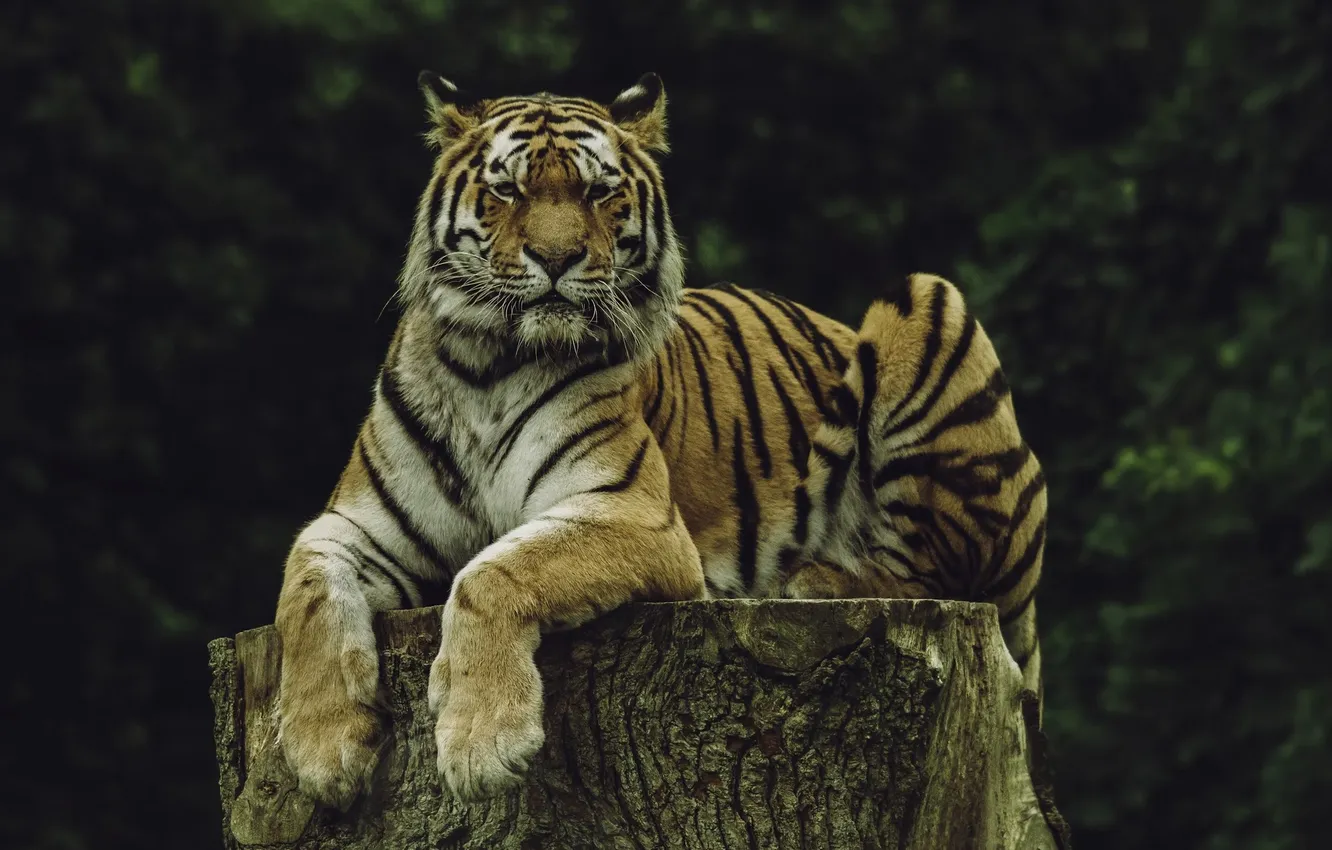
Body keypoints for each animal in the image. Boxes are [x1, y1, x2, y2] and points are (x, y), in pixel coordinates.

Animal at [273, 71, 1047, 808]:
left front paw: (482, 745)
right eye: (508, 189)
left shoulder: (632, 513)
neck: (486, 367)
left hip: (928, 300)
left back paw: (813, 579)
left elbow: (493, 572)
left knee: (939, 570)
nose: (556, 258)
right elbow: (305, 593)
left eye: (598, 190)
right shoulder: (356, 524)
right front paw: (322, 752)